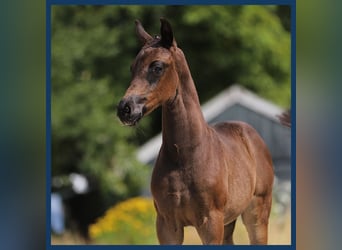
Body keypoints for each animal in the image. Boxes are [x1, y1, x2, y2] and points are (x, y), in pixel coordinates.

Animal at [116, 18, 274, 245]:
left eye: (157, 67)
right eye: (132, 68)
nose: (125, 109)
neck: (184, 154)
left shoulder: (210, 223)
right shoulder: (167, 225)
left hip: (257, 214)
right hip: (229, 221)